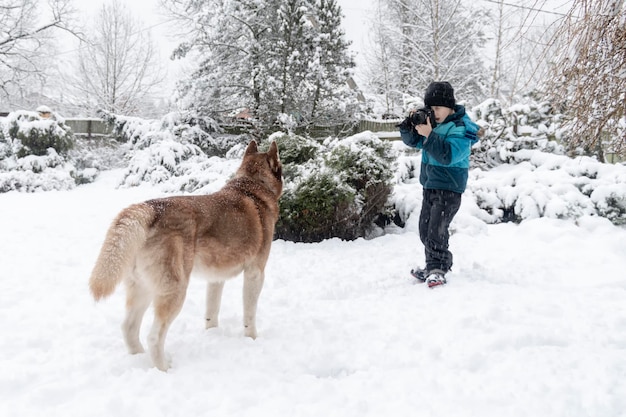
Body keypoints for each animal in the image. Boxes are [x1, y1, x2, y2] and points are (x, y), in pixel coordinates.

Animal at [89, 141, 282, 368]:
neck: (252, 187)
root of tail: (150, 208)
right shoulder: (255, 273)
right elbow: (249, 314)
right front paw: (251, 339)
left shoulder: (216, 279)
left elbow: (211, 312)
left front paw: (212, 335)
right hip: (175, 291)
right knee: (154, 336)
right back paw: (163, 368)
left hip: (144, 288)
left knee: (128, 328)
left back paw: (140, 358)